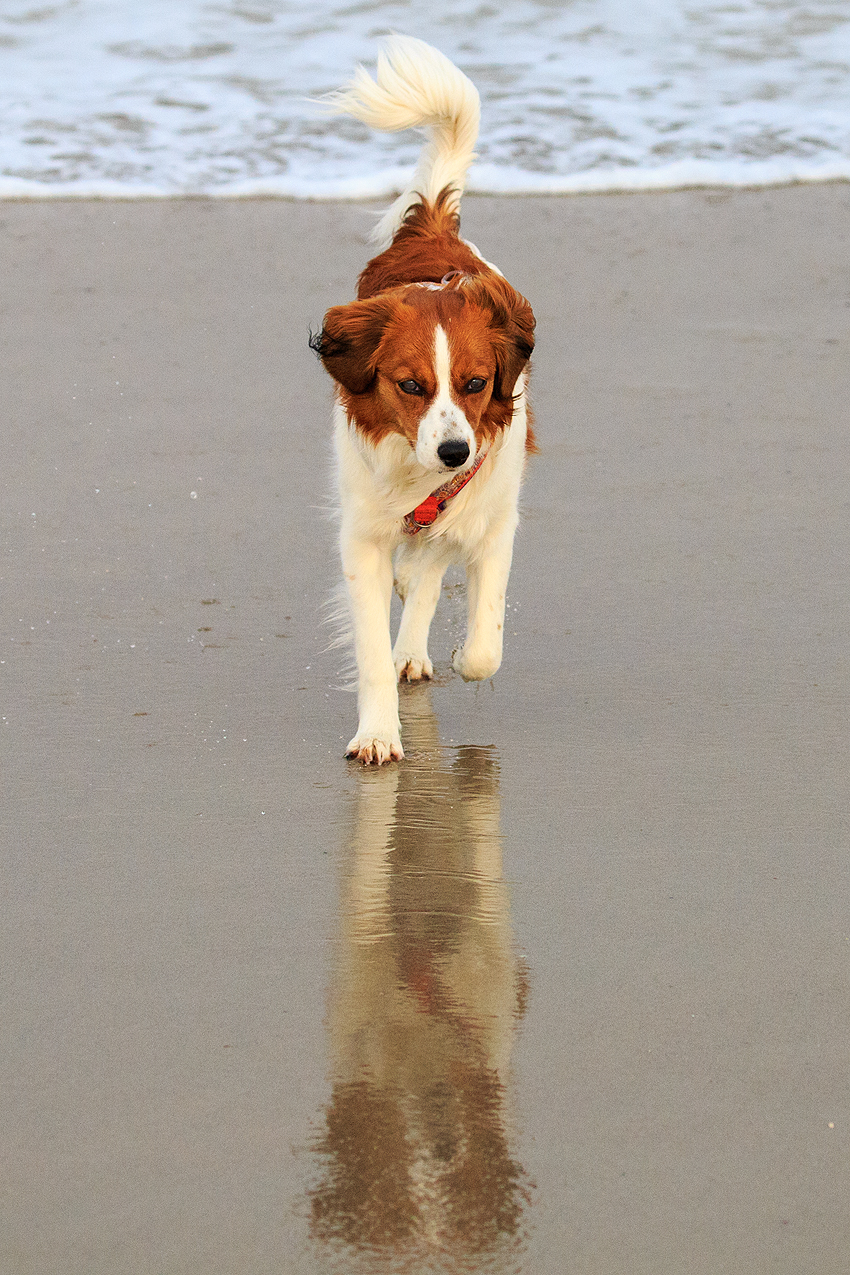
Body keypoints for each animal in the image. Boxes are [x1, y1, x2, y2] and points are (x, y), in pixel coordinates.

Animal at [312, 34, 535, 759]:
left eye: (475, 384)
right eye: (410, 385)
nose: (455, 452)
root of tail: (433, 226)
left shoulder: (491, 515)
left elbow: (485, 645)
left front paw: (463, 653)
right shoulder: (362, 537)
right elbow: (371, 653)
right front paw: (379, 734)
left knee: (433, 568)